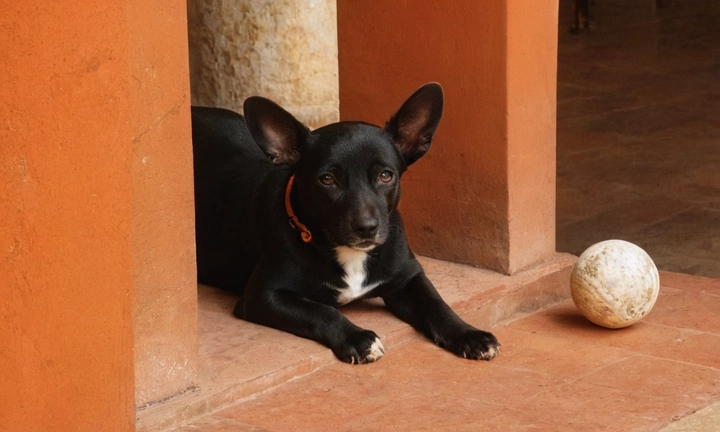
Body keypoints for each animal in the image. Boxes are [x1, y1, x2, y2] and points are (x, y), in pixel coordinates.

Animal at [188, 83, 498, 364]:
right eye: (327, 179)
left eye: (386, 175)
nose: (366, 227)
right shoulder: (262, 295)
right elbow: (319, 310)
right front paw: (357, 338)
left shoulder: (409, 278)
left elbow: (437, 305)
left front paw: (469, 334)